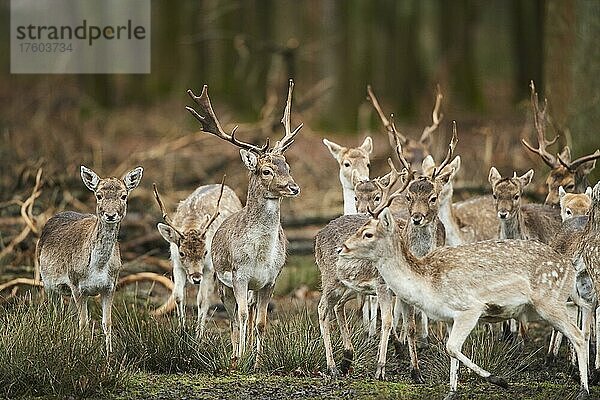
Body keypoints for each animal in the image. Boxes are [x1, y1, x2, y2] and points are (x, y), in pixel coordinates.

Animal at [38, 166, 144, 354]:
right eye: (99, 195)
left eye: (124, 195)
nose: (110, 215)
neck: (98, 267)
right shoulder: (76, 285)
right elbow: (84, 323)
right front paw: (84, 352)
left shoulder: (110, 286)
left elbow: (106, 323)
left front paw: (109, 354)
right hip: (47, 282)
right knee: (54, 313)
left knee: (68, 315)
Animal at [152, 178, 241, 334]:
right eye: (181, 253)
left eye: (206, 252)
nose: (196, 278)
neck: (191, 224)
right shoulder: (177, 265)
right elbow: (178, 296)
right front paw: (181, 330)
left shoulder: (209, 267)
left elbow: (202, 299)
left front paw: (198, 334)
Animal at [342, 205, 592, 398]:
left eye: (367, 234)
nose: (341, 248)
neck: (428, 285)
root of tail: (570, 267)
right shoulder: (449, 318)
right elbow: (451, 349)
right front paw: (451, 392)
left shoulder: (470, 309)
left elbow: (452, 347)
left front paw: (500, 380)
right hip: (563, 301)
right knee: (581, 322)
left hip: (549, 301)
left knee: (578, 336)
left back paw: (584, 390)